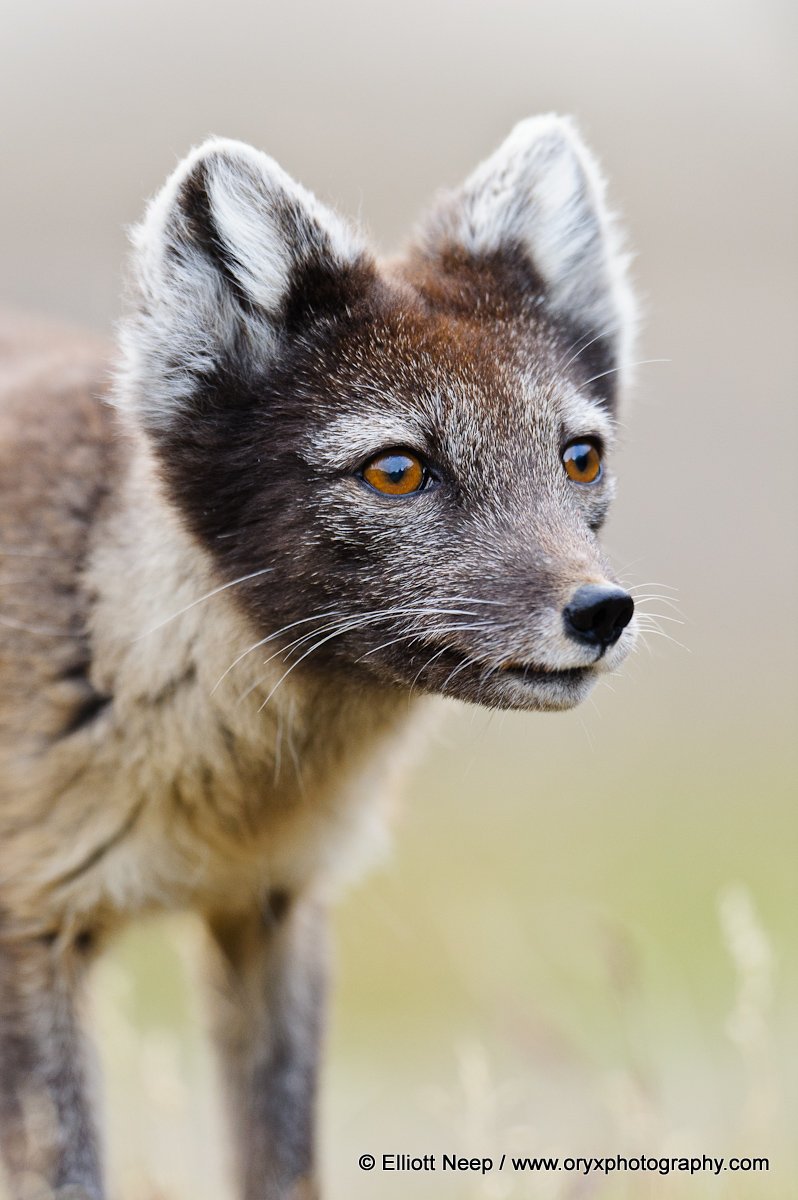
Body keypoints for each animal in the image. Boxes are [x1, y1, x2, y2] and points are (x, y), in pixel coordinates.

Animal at [0, 115, 638, 1200]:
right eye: (398, 471)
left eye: (580, 457)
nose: (604, 611)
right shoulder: (31, 936)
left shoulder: (278, 905)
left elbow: (285, 1164)